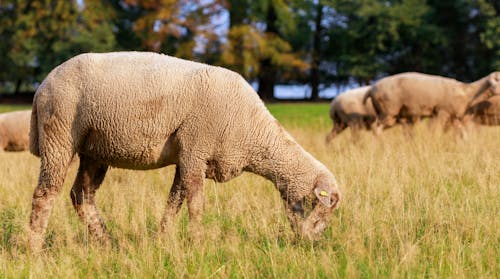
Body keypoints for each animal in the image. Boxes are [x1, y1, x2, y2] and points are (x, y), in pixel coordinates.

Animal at [27, 51, 340, 253]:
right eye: (323, 208)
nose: (312, 245)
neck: (255, 134)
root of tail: (42, 86)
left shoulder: (187, 156)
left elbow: (174, 202)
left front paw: (163, 240)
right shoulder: (195, 150)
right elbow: (196, 204)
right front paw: (198, 244)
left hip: (95, 150)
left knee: (81, 195)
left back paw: (105, 243)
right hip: (59, 134)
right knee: (45, 194)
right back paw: (34, 248)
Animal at [364, 71, 500, 137]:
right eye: (497, 80)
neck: (467, 92)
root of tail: (372, 88)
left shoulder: (455, 117)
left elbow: (462, 134)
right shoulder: (442, 112)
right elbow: (436, 132)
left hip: (393, 114)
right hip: (388, 111)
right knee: (376, 128)